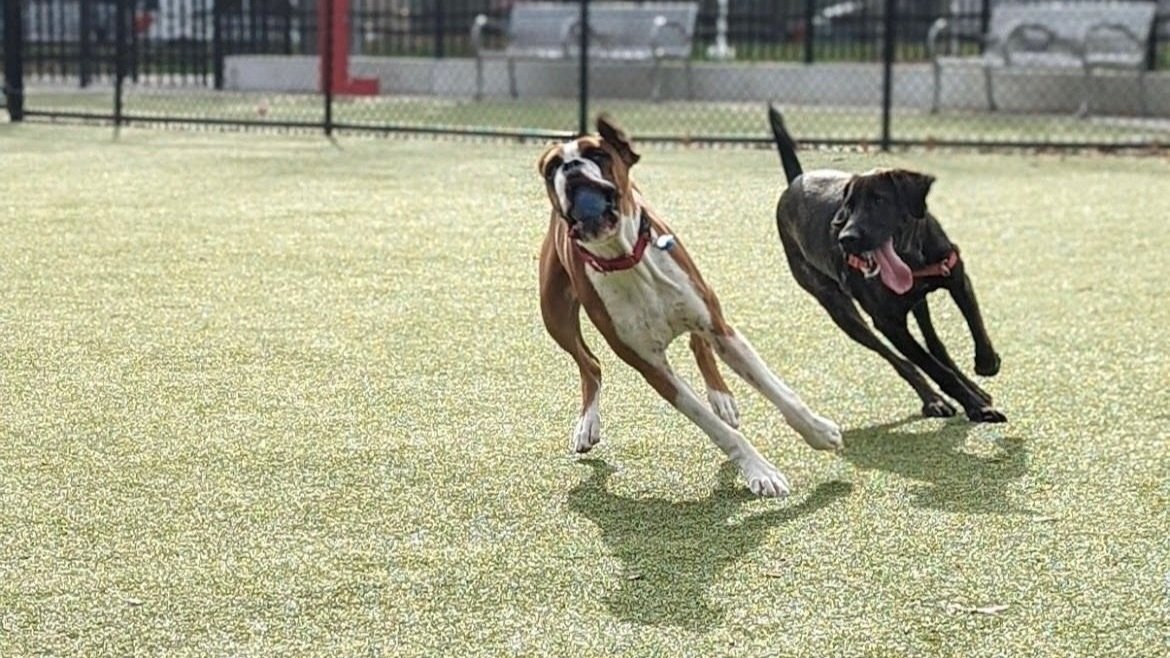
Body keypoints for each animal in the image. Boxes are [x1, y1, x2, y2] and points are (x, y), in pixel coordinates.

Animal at [538, 115, 842, 494]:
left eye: (597, 154)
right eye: (552, 169)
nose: (570, 167)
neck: (626, 257)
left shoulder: (720, 329)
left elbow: (780, 392)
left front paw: (818, 431)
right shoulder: (654, 370)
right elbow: (718, 430)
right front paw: (760, 471)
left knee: (699, 342)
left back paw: (722, 398)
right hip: (555, 317)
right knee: (590, 364)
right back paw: (587, 425)